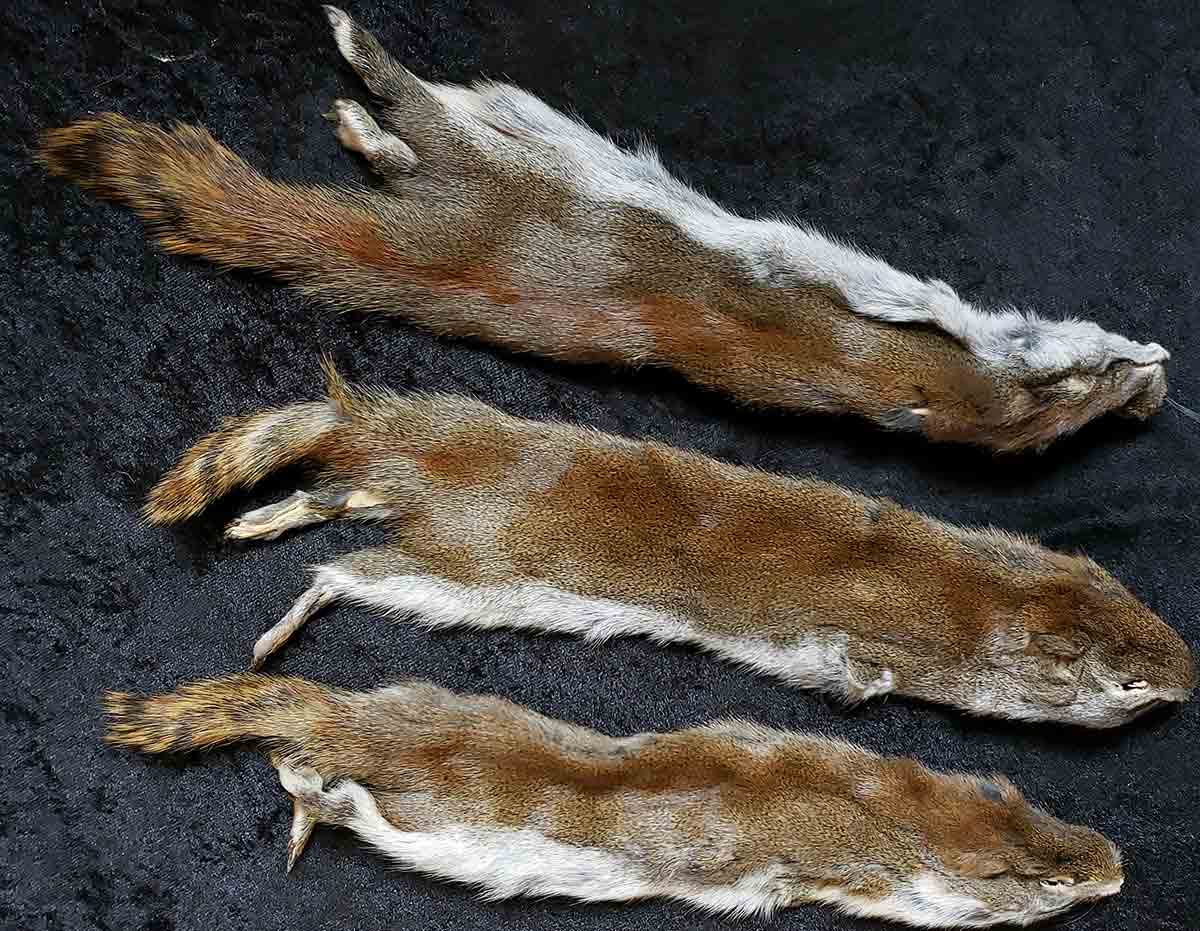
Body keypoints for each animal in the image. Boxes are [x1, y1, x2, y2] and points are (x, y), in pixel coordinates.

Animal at [142, 360, 1193, 727]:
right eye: (1128, 684)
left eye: (1148, 608)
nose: (1191, 674)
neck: (976, 596)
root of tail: (427, 446)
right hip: (460, 569)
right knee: (342, 563)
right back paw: (273, 626)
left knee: (338, 498)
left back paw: (261, 518)